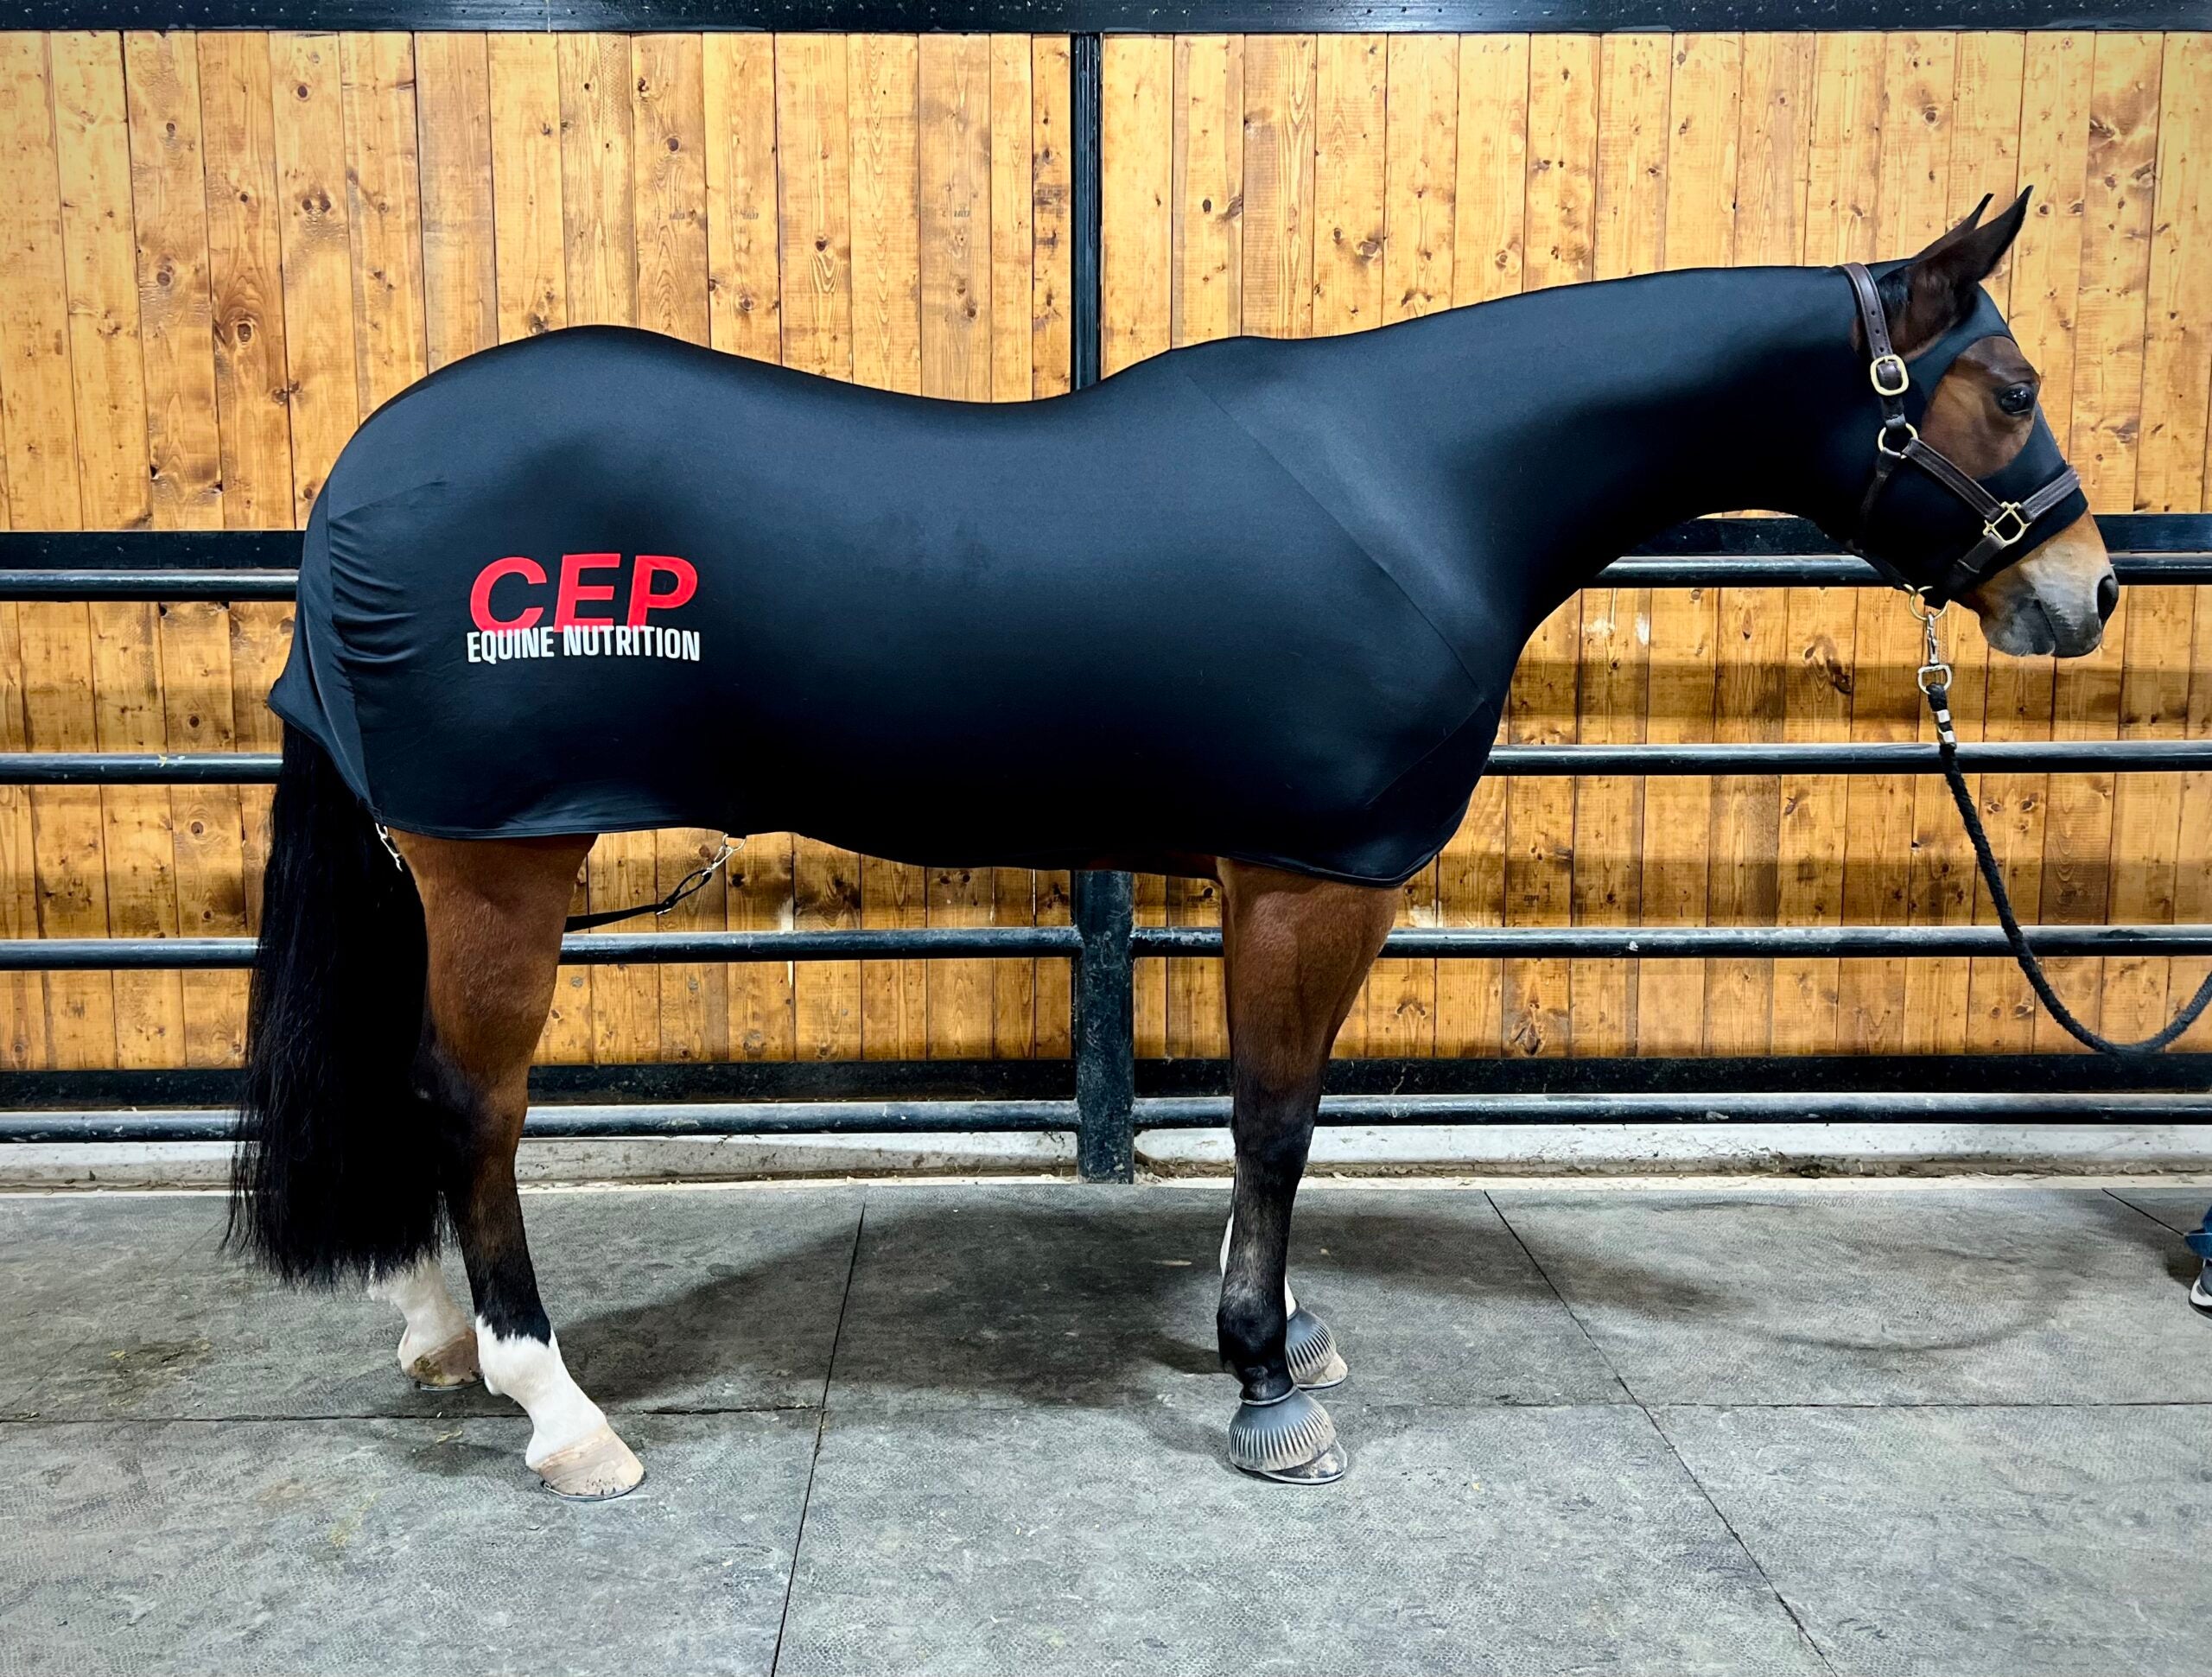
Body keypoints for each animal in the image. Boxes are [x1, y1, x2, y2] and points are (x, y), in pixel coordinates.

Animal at [230, 189, 2115, 1498]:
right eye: (2007, 384)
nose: (2083, 591)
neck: (1425, 482)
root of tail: (361, 481)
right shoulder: (1308, 877)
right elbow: (1276, 1123)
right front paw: (1265, 1384)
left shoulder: (1264, 870)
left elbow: (1268, 1119)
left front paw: (1281, 1332)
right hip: (500, 860)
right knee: (471, 1104)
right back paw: (557, 1410)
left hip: (444, 861)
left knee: (422, 1089)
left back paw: (436, 1339)